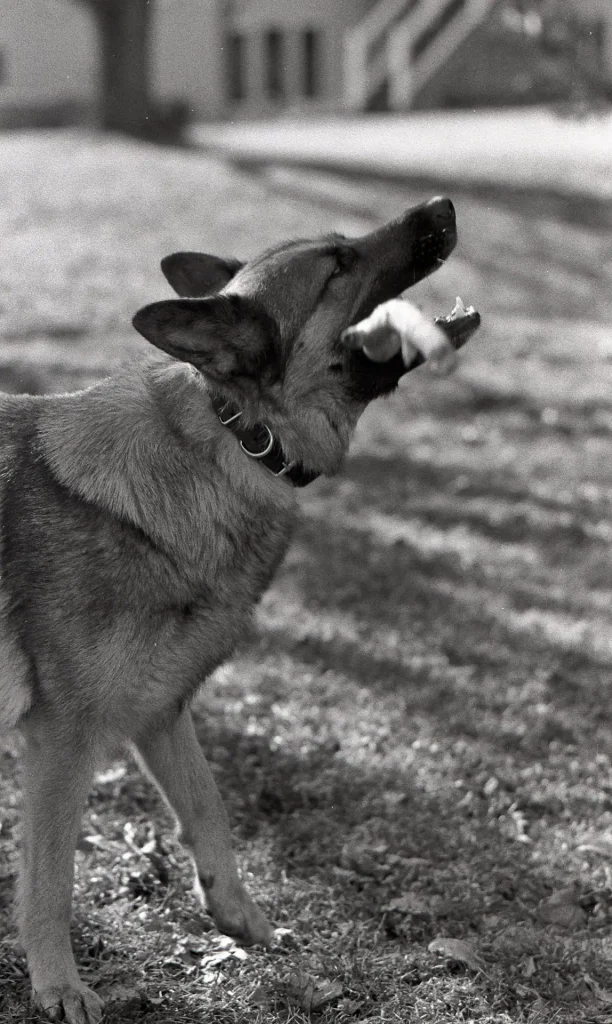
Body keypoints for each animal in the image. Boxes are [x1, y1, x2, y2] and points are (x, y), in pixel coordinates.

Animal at [0, 195, 460, 1019]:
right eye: (339, 264)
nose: (442, 205)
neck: (239, 435)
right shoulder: (61, 740)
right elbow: (51, 877)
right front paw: (58, 984)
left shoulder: (160, 711)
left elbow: (207, 805)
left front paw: (235, 912)